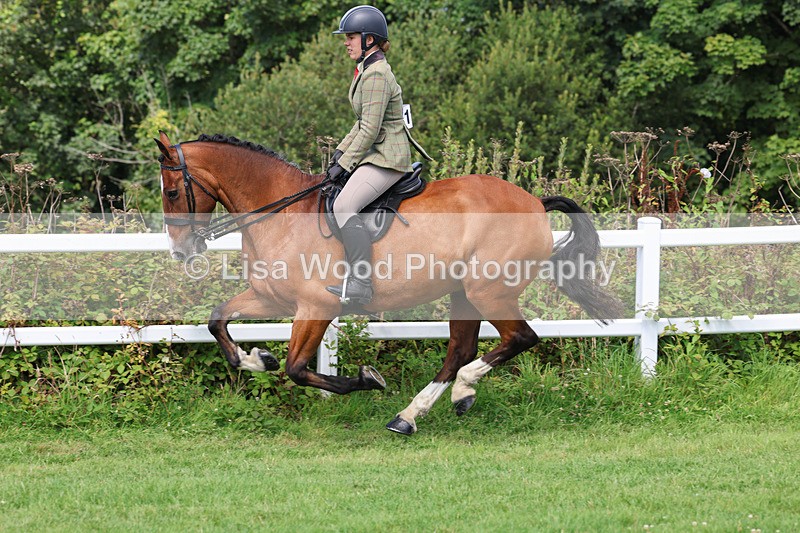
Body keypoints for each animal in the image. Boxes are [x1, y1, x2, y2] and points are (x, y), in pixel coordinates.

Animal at [155, 131, 622, 435]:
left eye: (173, 192)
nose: (180, 251)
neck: (281, 213)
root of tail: (535, 203)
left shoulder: (316, 307)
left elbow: (298, 369)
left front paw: (366, 379)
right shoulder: (270, 298)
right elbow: (219, 321)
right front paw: (257, 359)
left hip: (488, 291)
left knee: (519, 338)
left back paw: (461, 391)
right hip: (463, 295)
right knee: (460, 349)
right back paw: (411, 415)